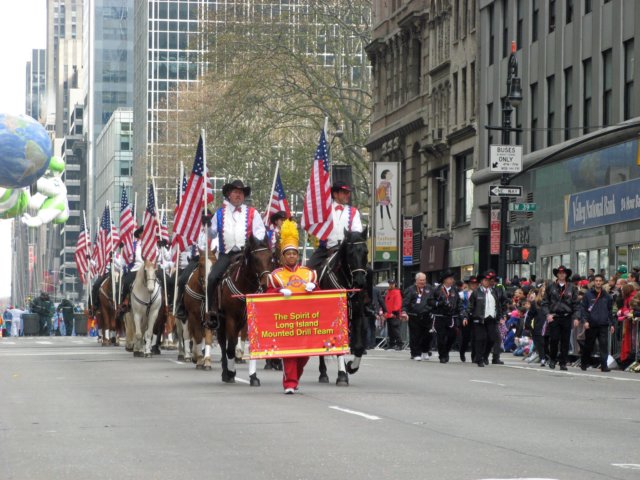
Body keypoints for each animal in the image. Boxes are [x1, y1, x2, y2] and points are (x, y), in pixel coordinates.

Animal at [218, 236, 272, 386]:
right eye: (255, 259)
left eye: (270, 257)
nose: (266, 283)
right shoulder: (230, 318)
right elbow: (230, 347)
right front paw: (230, 374)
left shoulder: (249, 320)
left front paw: (253, 376)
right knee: (223, 344)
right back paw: (226, 373)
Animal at [316, 228, 368, 386]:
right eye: (350, 253)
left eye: (366, 252)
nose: (360, 281)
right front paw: (342, 375)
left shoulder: (357, 315)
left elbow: (358, 346)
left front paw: (351, 367)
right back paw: (323, 374)